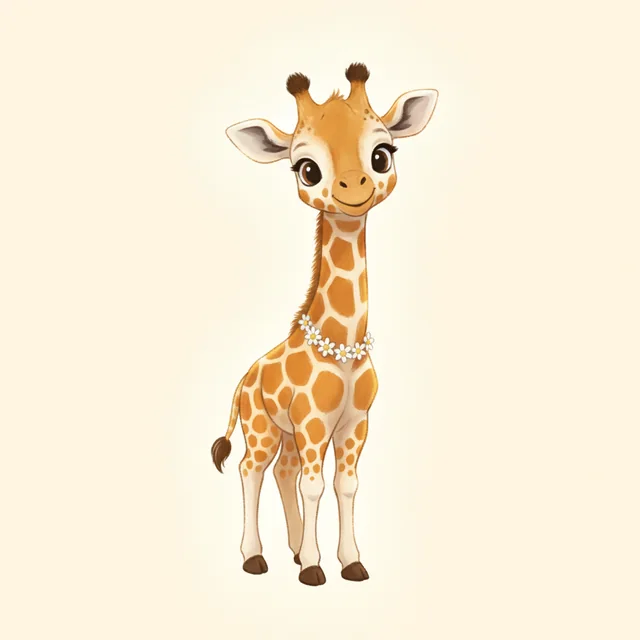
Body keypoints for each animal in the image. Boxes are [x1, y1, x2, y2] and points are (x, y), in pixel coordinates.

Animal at [211, 63, 438, 587]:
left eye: (382, 154)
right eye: (307, 168)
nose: (354, 188)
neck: (342, 342)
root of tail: (242, 381)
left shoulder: (355, 422)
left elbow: (346, 484)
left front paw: (350, 562)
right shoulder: (315, 420)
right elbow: (315, 486)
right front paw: (315, 569)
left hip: (288, 434)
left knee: (282, 472)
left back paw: (292, 550)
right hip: (261, 426)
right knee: (252, 469)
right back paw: (255, 557)